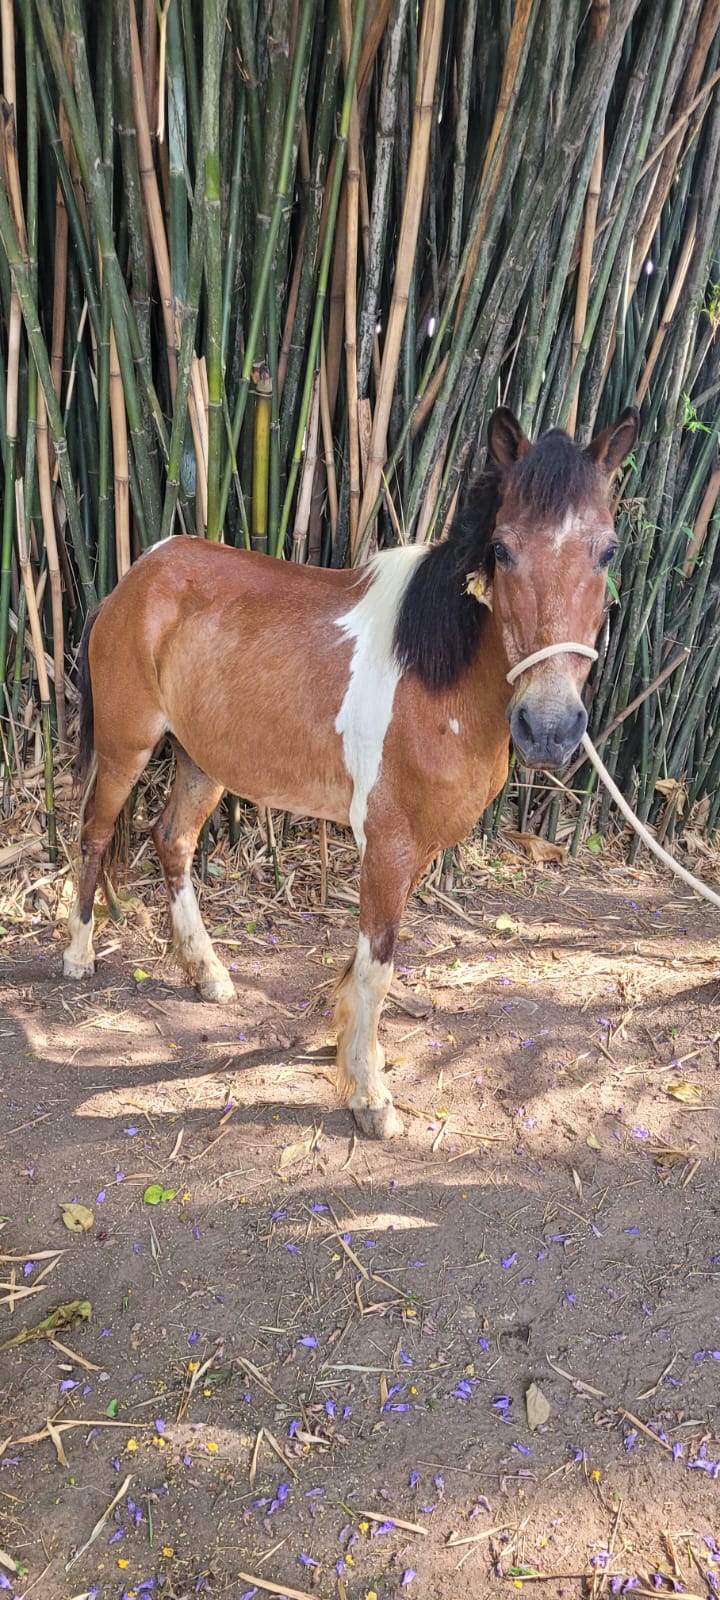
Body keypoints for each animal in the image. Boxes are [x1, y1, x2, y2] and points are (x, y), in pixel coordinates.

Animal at [62, 412, 636, 1139]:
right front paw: (368, 1095)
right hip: (125, 748)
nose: (551, 727)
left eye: (608, 552)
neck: (433, 675)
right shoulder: (387, 842)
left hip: (201, 759)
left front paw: (340, 1044)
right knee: (94, 833)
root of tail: (139, 572)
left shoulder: (416, 850)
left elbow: (366, 961)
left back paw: (208, 973)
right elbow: (377, 966)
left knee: (174, 840)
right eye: (502, 550)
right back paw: (77, 957)